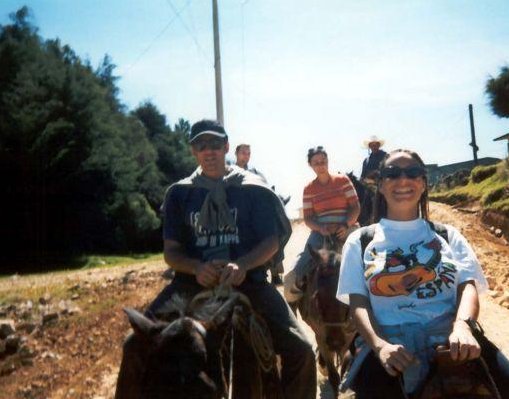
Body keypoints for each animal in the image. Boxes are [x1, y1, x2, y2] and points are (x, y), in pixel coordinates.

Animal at [296, 239, 356, 398]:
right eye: (317, 297)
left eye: (347, 296)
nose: (335, 342)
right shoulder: (322, 337)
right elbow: (333, 376)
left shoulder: (348, 337)